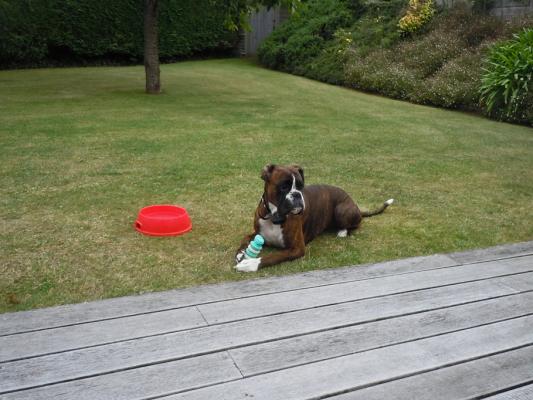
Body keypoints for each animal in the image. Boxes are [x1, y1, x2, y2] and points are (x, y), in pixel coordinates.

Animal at [235, 163, 392, 272]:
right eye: (283, 187)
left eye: (301, 186)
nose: (297, 194)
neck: (275, 217)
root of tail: (357, 207)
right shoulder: (256, 233)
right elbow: (244, 239)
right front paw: (240, 254)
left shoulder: (297, 248)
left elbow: (272, 257)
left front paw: (250, 264)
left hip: (341, 210)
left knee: (355, 224)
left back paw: (342, 232)